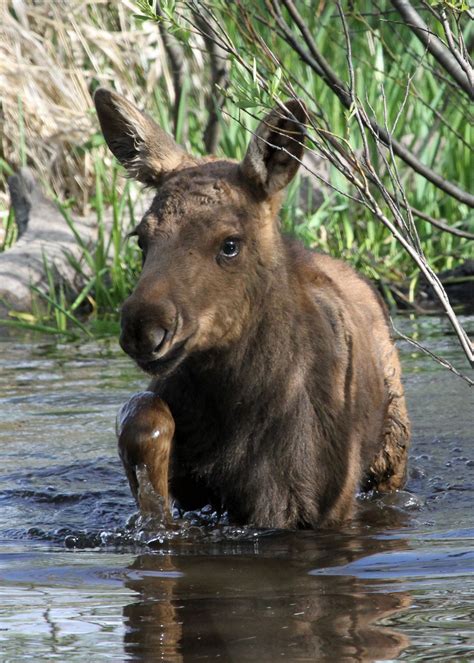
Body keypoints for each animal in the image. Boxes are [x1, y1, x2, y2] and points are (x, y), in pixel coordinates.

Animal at [94, 88, 410, 528]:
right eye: (141, 238)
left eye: (230, 244)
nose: (144, 327)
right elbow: (144, 419)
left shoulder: (311, 509)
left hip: (391, 456)